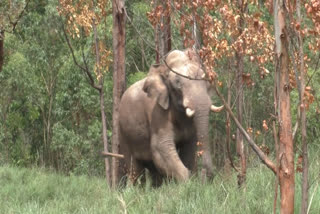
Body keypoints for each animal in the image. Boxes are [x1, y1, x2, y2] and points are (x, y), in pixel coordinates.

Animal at [119, 49, 224, 186]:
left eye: (206, 79)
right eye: (177, 83)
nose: (206, 175)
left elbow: (189, 147)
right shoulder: (157, 111)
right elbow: (160, 147)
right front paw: (187, 184)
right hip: (123, 134)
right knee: (135, 170)